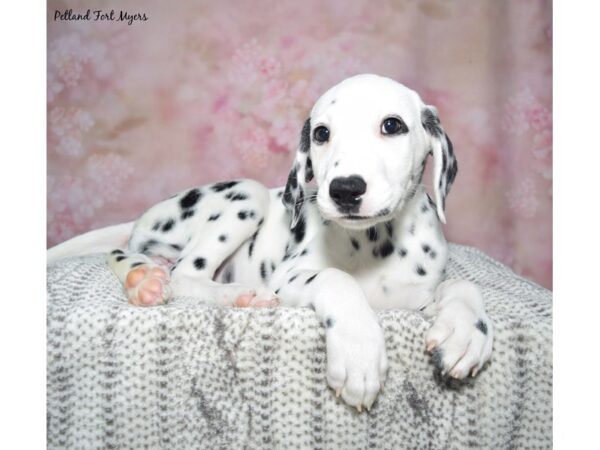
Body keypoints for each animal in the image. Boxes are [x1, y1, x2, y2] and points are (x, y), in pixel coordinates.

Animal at [48, 73, 492, 412]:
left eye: (392, 125)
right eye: (321, 133)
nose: (345, 189)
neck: (374, 244)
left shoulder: (415, 300)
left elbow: (462, 285)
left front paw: (465, 331)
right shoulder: (289, 276)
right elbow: (336, 279)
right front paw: (359, 352)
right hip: (248, 194)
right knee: (184, 274)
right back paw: (239, 294)